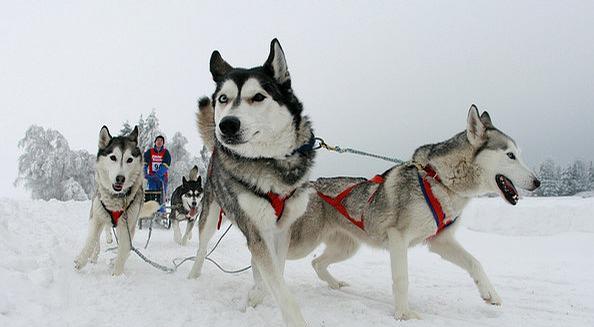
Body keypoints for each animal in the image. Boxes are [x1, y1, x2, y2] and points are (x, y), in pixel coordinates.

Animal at [74, 127, 160, 276]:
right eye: (113, 157)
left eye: (129, 160)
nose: (120, 178)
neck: (116, 198)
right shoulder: (97, 217)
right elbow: (91, 241)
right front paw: (80, 261)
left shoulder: (127, 225)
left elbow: (124, 250)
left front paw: (117, 274)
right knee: (99, 237)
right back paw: (95, 254)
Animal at [188, 39, 316, 327]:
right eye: (223, 99)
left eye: (258, 97)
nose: (227, 125)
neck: (271, 162)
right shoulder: (257, 231)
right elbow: (277, 285)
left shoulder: (281, 231)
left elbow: (274, 273)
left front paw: (257, 294)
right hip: (210, 217)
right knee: (201, 249)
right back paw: (192, 277)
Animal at [214, 105, 540, 320]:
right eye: (510, 155)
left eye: (520, 154)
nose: (537, 182)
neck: (439, 180)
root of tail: (309, 186)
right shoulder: (398, 239)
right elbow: (402, 279)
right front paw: (404, 314)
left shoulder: (440, 241)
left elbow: (475, 263)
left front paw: (490, 294)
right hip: (300, 243)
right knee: (263, 257)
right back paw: (258, 290)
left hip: (347, 247)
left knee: (317, 263)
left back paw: (334, 285)